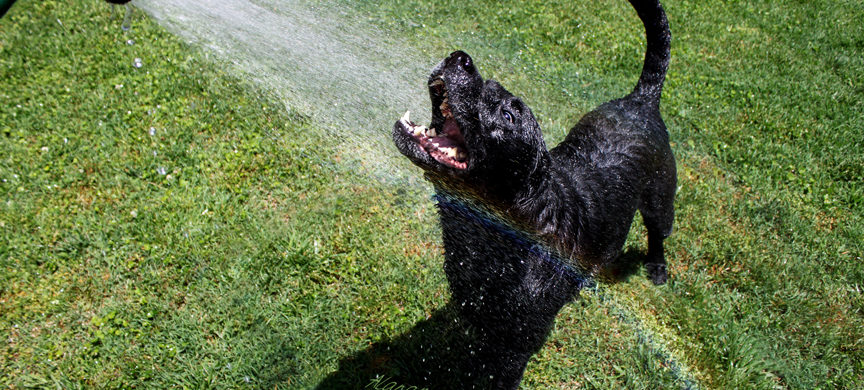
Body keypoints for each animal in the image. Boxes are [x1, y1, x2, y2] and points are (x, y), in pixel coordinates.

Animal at [392, 0, 676, 386]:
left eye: (509, 116)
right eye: (489, 85)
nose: (461, 58)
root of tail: (641, 101)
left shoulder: (516, 348)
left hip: (661, 199)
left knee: (658, 232)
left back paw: (657, 268)